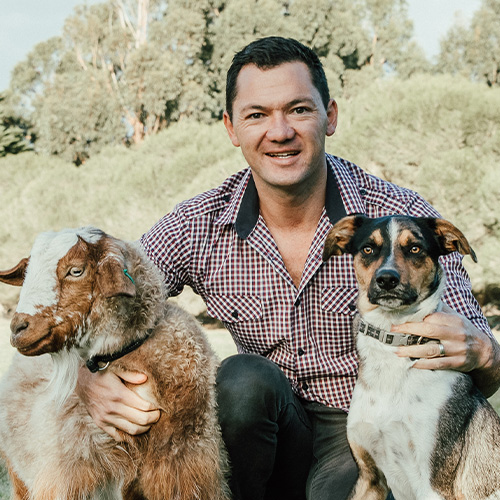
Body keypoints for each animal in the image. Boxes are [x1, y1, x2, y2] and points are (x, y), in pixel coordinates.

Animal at [322, 216, 500, 500]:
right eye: (368, 248)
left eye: (415, 248)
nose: (386, 279)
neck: (391, 341)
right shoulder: (370, 478)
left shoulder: (434, 485)